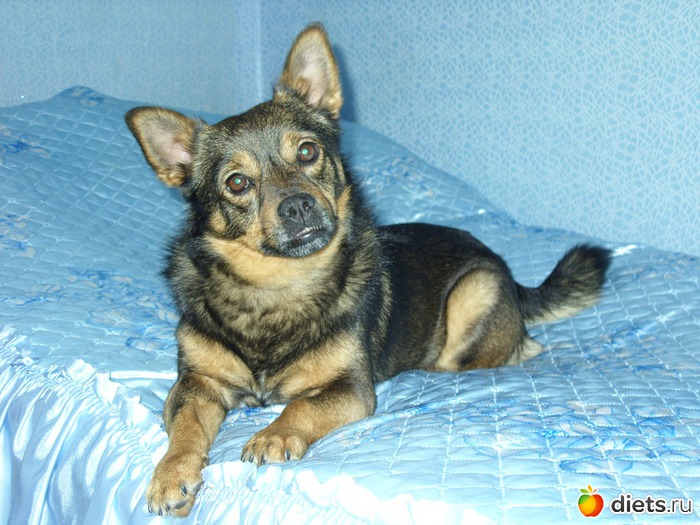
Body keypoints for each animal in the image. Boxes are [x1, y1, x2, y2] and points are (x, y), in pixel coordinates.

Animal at [125, 23, 611, 517]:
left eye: (307, 152)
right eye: (237, 182)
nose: (298, 206)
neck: (275, 288)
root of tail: (514, 280)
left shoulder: (350, 388)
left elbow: (300, 408)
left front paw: (273, 435)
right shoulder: (197, 383)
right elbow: (186, 428)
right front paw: (171, 475)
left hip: (474, 292)